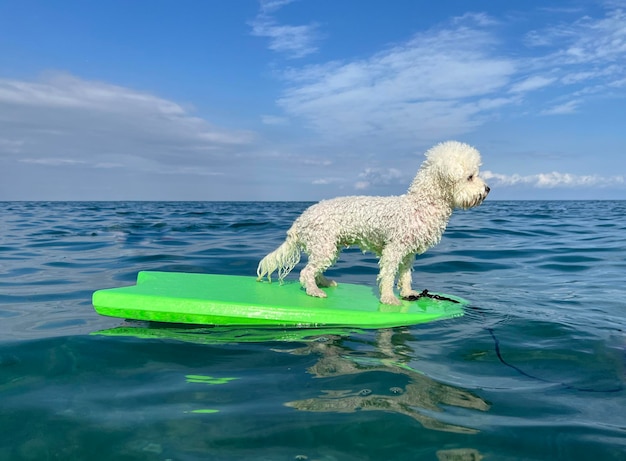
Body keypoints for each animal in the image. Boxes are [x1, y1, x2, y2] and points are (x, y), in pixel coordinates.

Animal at [256, 140, 490, 306]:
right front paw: (389, 299)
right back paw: (314, 291)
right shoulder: (394, 249)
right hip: (324, 245)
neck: (422, 203)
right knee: (306, 272)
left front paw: (408, 293)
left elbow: (405, 275)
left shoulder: (408, 253)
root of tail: (300, 219)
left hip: (329, 247)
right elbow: (387, 274)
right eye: (470, 177)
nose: (487, 189)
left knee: (316, 269)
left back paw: (325, 282)